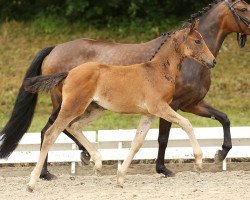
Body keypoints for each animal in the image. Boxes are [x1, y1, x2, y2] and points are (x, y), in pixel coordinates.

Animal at [23, 21, 215, 191]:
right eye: (197, 40)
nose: (212, 61)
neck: (159, 71)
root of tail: (69, 73)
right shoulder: (160, 107)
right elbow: (186, 124)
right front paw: (198, 162)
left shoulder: (149, 113)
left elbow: (137, 143)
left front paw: (120, 178)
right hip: (73, 107)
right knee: (51, 133)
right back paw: (32, 183)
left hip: (94, 109)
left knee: (73, 126)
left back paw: (97, 162)